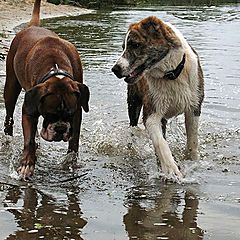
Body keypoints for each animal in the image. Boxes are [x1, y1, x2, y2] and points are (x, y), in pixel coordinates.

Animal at [3, 0, 90, 180]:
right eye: (49, 114)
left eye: (69, 114)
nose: (60, 129)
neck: (56, 69)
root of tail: (32, 26)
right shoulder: (28, 110)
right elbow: (28, 140)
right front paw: (27, 165)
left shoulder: (78, 111)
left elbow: (74, 139)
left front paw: (71, 162)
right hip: (10, 88)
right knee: (9, 115)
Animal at [112, 15, 204, 179]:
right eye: (123, 47)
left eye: (135, 44)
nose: (115, 69)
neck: (171, 75)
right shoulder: (152, 113)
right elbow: (160, 143)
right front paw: (170, 169)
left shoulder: (194, 107)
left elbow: (193, 140)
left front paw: (192, 160)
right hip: (133, 102)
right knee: (134, 124)